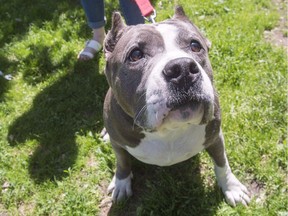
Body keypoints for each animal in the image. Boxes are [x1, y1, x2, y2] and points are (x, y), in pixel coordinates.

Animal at [103, 5, 250, 207]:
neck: (169, 131)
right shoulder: (118, 143)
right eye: (135, 54)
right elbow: (123, 163)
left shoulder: (215, 137)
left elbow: (222, 163)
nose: (182, 69)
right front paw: (121, 183)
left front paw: (232, 187)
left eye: (195, 46)